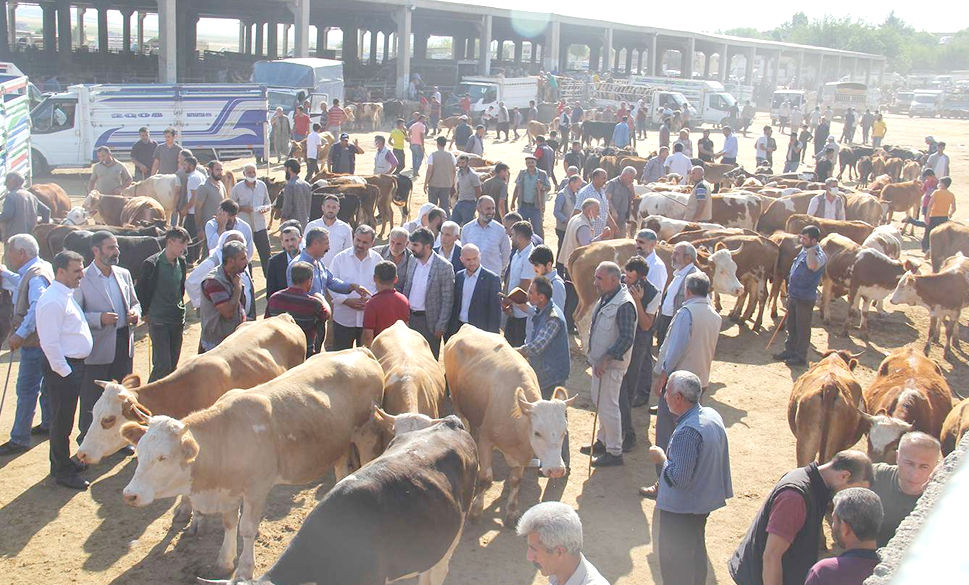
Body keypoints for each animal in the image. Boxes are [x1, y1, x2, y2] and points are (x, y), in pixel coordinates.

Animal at [123, 346, 388, 580]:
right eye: (140, 452)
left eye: (163, 457)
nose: (130, 495)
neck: (226, 434)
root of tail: (360, 350)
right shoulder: (228, 489)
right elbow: (229, 523)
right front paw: (225, 560)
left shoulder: (256, 489)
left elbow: (247, 528)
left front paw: (243, 569)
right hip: (338, 443)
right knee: (341, 468)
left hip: (365, 435)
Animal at [444, 324, 576, 524]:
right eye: (537, 433)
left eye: (564, 432)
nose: (556, 470)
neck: (517, 422)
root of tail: (466, 326)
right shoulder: (487, 440)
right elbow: (486, 478)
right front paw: (476, 509)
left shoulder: (524, 453)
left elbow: (516, 480)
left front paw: (512, 511)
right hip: (457, 401)